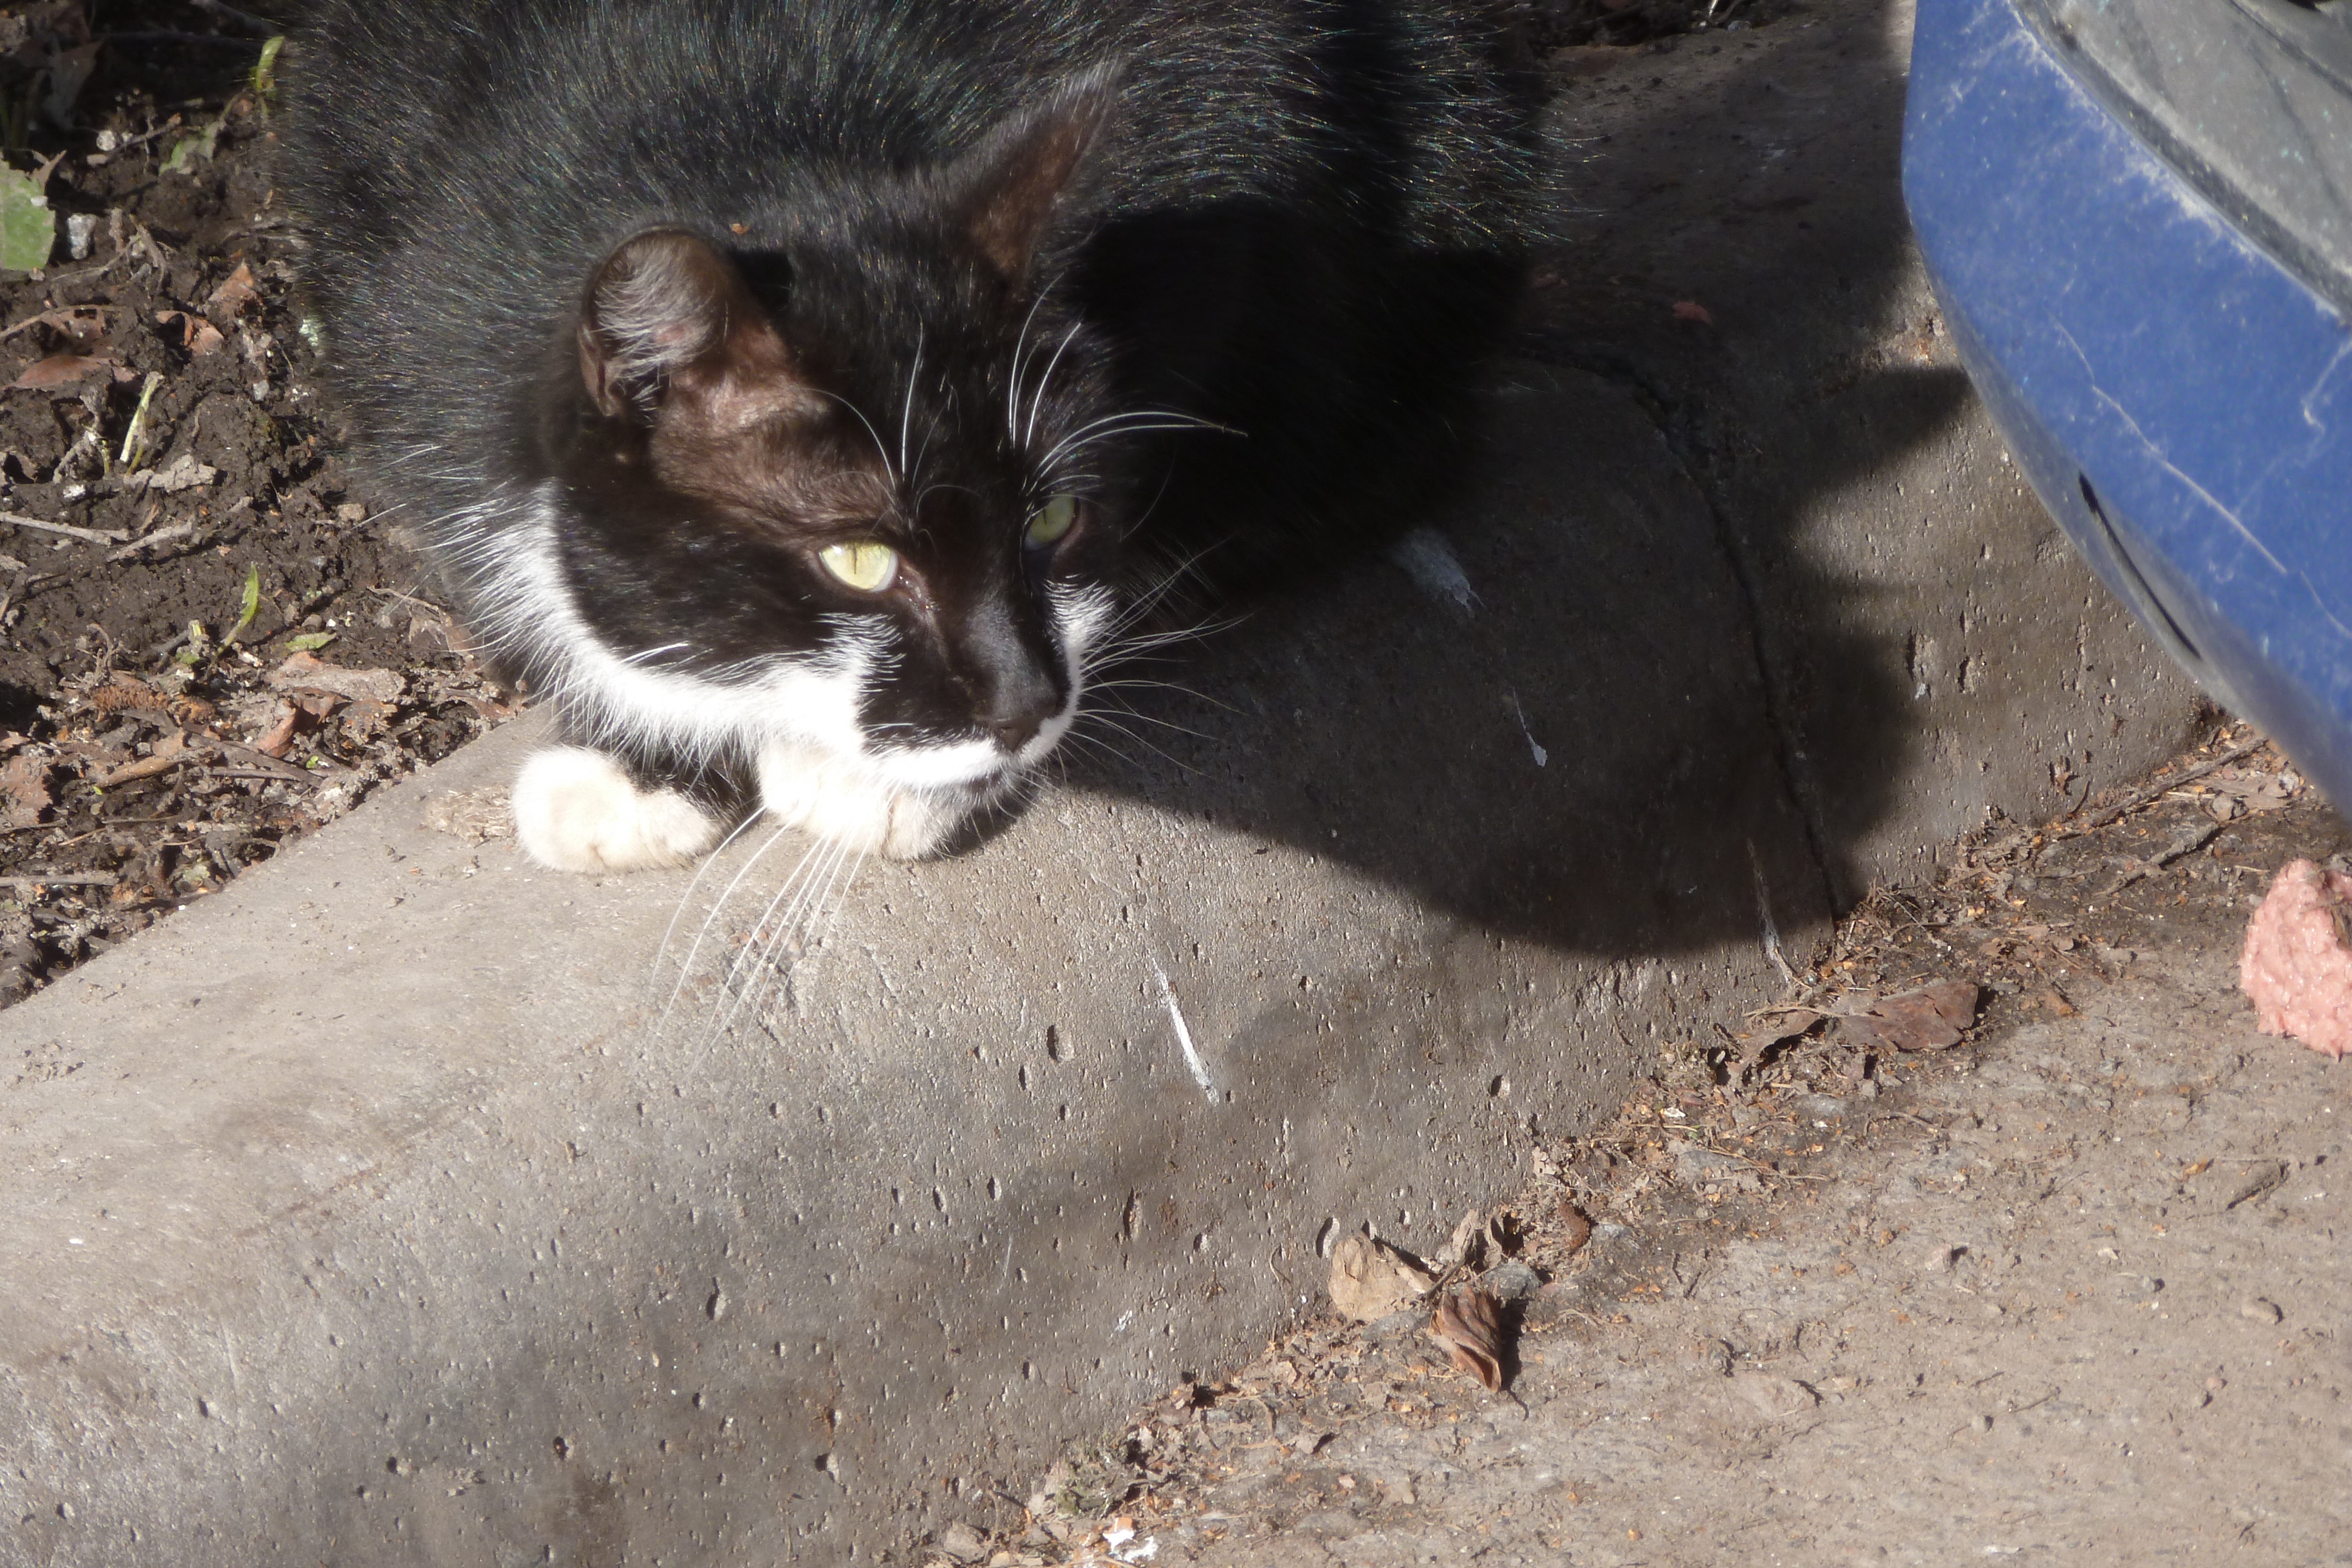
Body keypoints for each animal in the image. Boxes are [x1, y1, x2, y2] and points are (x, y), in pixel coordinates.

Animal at [286, 0, 1539, 872]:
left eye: (1052, 515)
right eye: (859, 560)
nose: (1027, 706)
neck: (747, 140)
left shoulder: (1234, 155)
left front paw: (890, 781)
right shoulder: (400, 288)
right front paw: (644, 765)